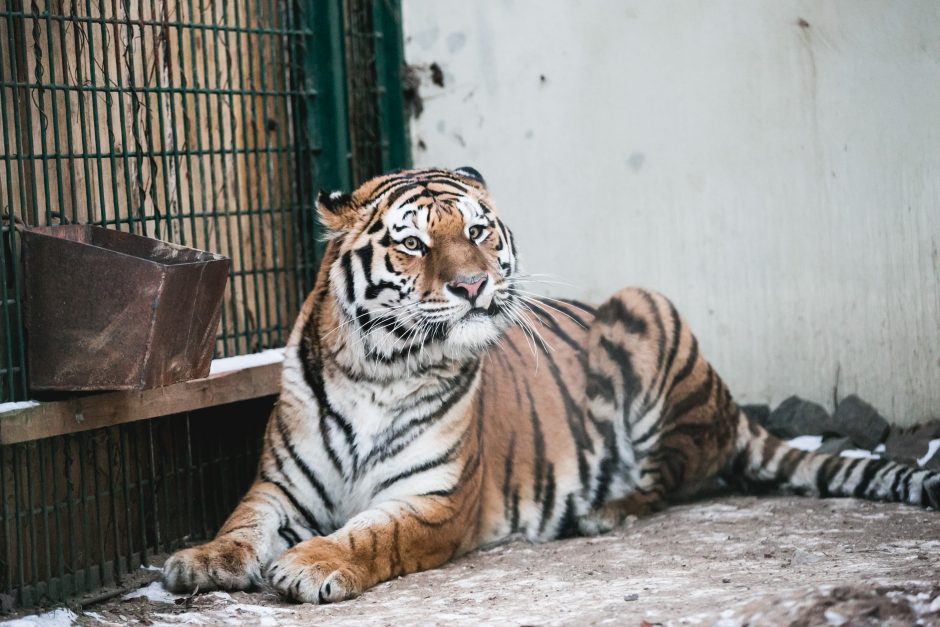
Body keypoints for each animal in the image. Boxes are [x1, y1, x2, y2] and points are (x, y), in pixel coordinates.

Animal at [162, 166, 940, 604]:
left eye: (478, 231)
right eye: (412, 243)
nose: (473, 285)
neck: (381, 367)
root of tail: (726, 399)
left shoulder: (433, 499)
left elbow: (370, 536)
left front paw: (311, 563)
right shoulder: (281, 485)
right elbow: (241, 524)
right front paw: (198, 562)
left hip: (642, 306)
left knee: (671, 476)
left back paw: (604, 511)